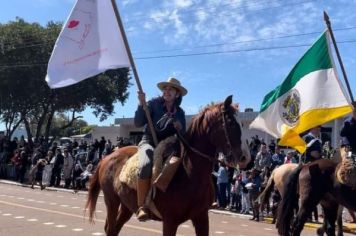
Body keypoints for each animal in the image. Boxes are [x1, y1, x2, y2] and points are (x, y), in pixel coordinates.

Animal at [85, 95, 252, 235]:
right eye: (230, 122)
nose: (246, 157)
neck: (189, 173)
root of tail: (106, 158)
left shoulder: (202, 217)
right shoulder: (170, 221)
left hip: (127, 205)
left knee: (114, 228)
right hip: (112, 201)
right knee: (110, 228)